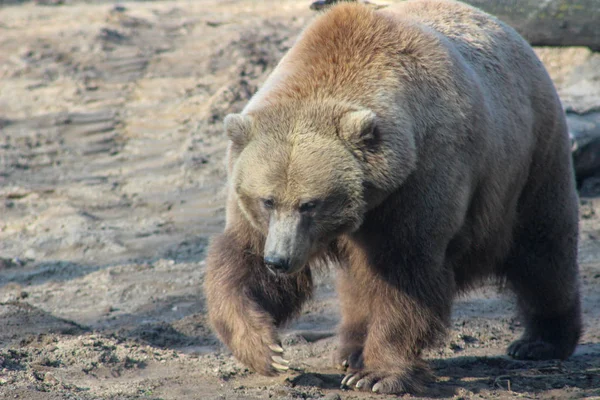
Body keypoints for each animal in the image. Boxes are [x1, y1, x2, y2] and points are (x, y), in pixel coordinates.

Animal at [204, 0, 584, 394]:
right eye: (268, 200)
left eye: (310, 204)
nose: (279, 260)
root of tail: (511, 33)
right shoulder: (260, 210)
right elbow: (242, 261)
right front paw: (266, 347)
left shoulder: (421, 177)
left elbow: (406, 274)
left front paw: (377, 374)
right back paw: (351, 350)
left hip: (531, 161)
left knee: (543, 251)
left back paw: (542, 340)